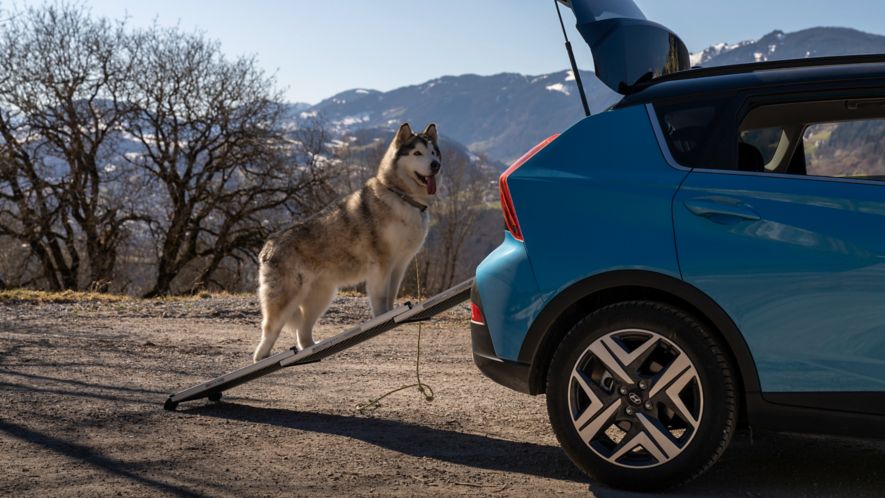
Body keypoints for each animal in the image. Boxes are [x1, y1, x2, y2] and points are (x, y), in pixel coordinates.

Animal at [252, 122, 438, 360]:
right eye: (417, 153)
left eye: (433, 152)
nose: (435, 165)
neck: (401, 197)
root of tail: (268, 247)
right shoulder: (381, 264)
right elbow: (380, 299)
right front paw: (384, 316)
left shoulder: (400, 264)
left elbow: (391, 295)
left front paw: (392, 312)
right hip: (286, 297)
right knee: (269, 330)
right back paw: (263, 357)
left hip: (321, 295)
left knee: (302, 332)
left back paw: (311, 347)